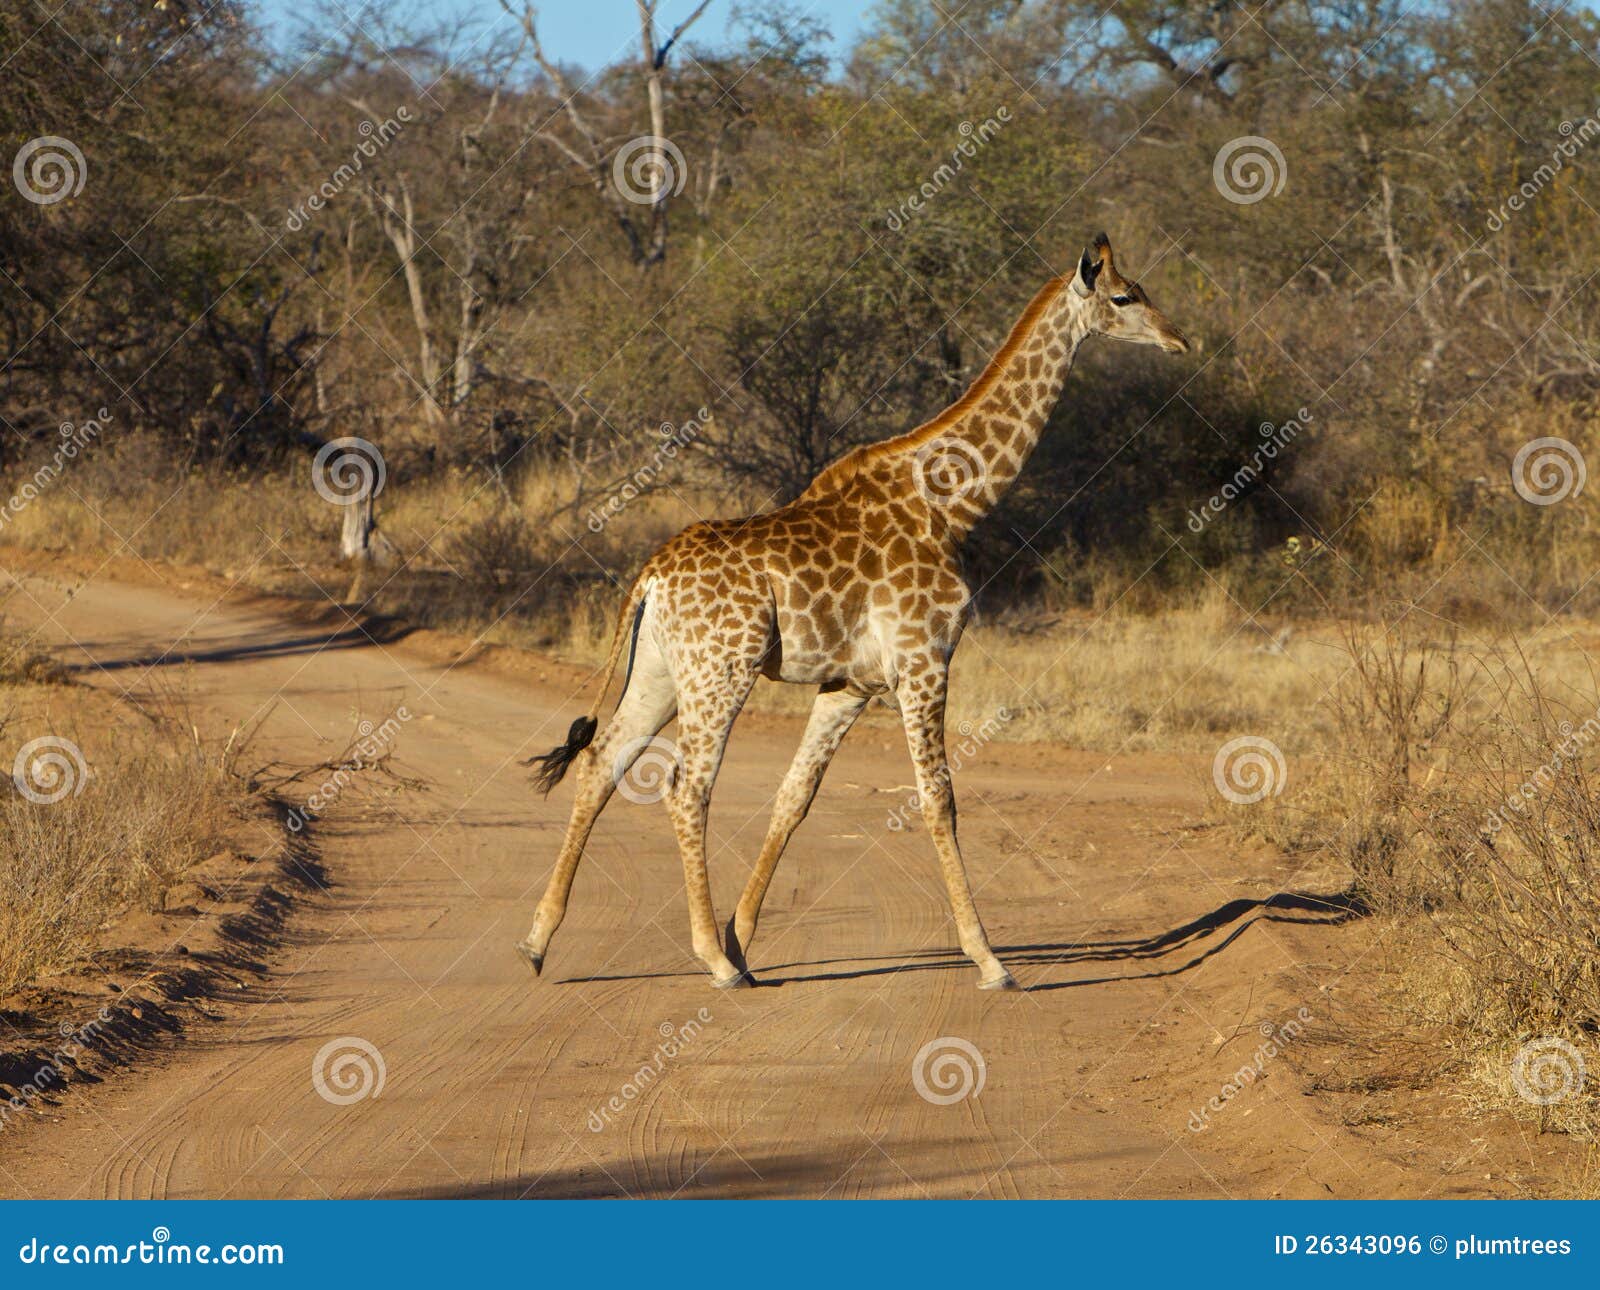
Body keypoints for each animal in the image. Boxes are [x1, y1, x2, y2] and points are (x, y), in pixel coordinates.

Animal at [518, 232, 1190, 990]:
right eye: (1124, 296)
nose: (1178, 340)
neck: (953, 503)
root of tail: (650, 579)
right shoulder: (924, 660)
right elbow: (938, 799)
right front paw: (989, 959)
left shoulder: (851, 684)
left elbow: (795, 797)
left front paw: (745, 942)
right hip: (722, 672)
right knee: (685, 789)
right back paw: (709, 961)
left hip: (663, 671)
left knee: (602, 762)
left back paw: (540, 941)